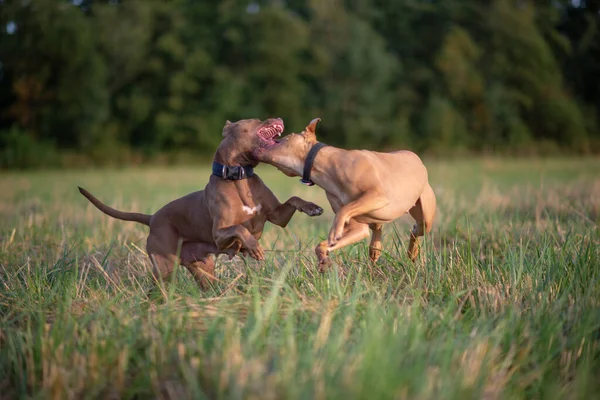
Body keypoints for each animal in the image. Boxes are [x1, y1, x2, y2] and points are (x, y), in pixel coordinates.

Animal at [81, 117, 324, 290]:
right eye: (256, 119)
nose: (280, 117)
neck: (238, 176)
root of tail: (152, 218)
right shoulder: (219, 233)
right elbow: (239, 228)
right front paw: (253, 247)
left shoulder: (277, 216)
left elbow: (293, 199)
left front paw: (312, 207)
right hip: (164, 268)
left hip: (203, 270)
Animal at [253, 118, 436, 268]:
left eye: (283, 139)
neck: (324, 166)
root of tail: (415, 157)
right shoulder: (357, 228)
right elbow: (322, 245)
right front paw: (324, 259)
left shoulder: (376, 195)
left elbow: (344, 210)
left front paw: (335, 232)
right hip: (378, 218)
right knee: (379, 228)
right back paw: (376, 249)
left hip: (424, 217)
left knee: (415, 230)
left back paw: (412, 252)